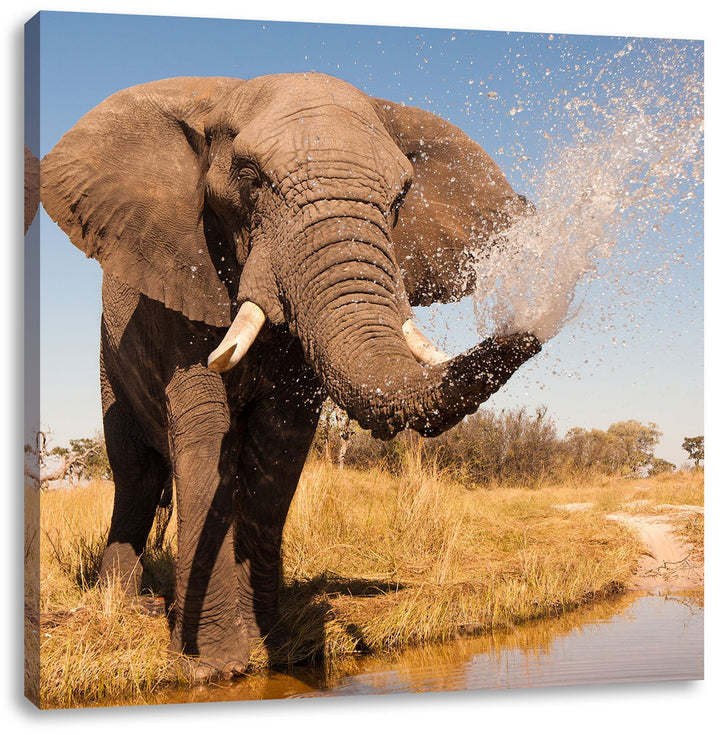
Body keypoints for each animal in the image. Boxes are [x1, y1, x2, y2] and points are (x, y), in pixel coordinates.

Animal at [40, 72, 541, 680]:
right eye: (250, 180)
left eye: (400, 197)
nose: (537, 317)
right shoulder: (182, 277)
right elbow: (204, 430)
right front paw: (212, 666)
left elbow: (280, 441)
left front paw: (270, 643)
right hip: (109, 362)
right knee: (134, 474)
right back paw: (120, 602)